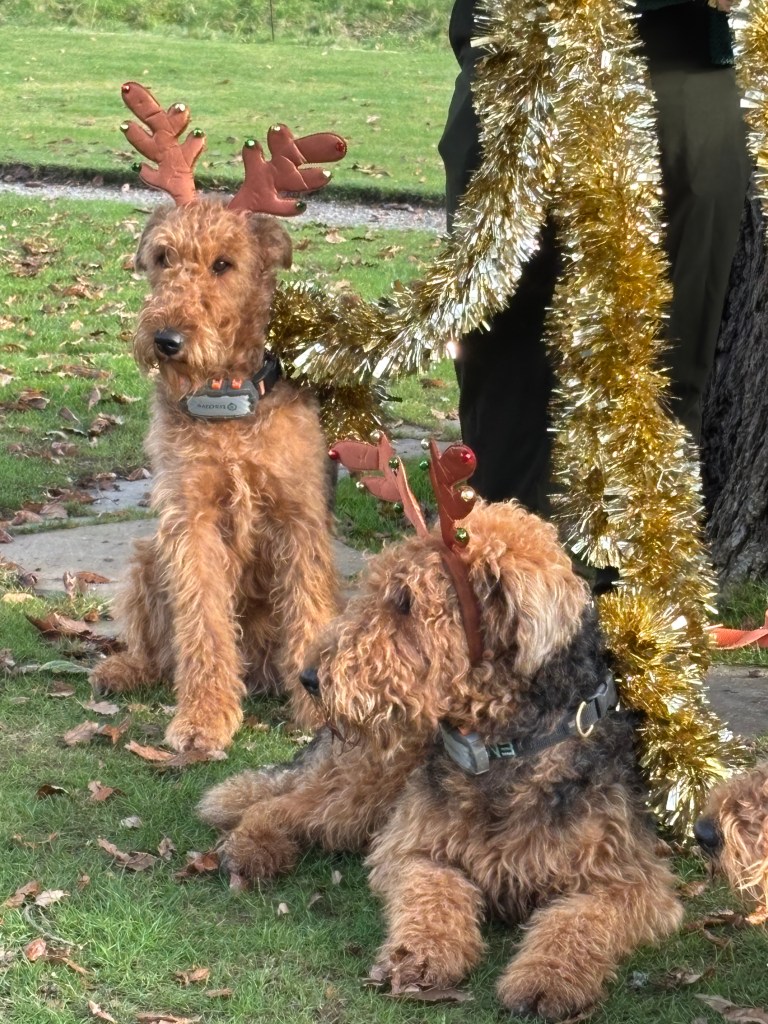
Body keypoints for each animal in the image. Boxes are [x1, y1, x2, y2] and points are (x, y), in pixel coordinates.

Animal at [199, 439, 682, 1019]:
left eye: (406, 601)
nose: (310, 678)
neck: (504, 749)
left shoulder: (631, 883)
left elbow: (577, 918)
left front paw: (547, 980)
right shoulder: (412, 848)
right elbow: (437, 893)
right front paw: (423, 954)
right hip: (362, 794)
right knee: (278, 806)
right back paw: (251, 848)